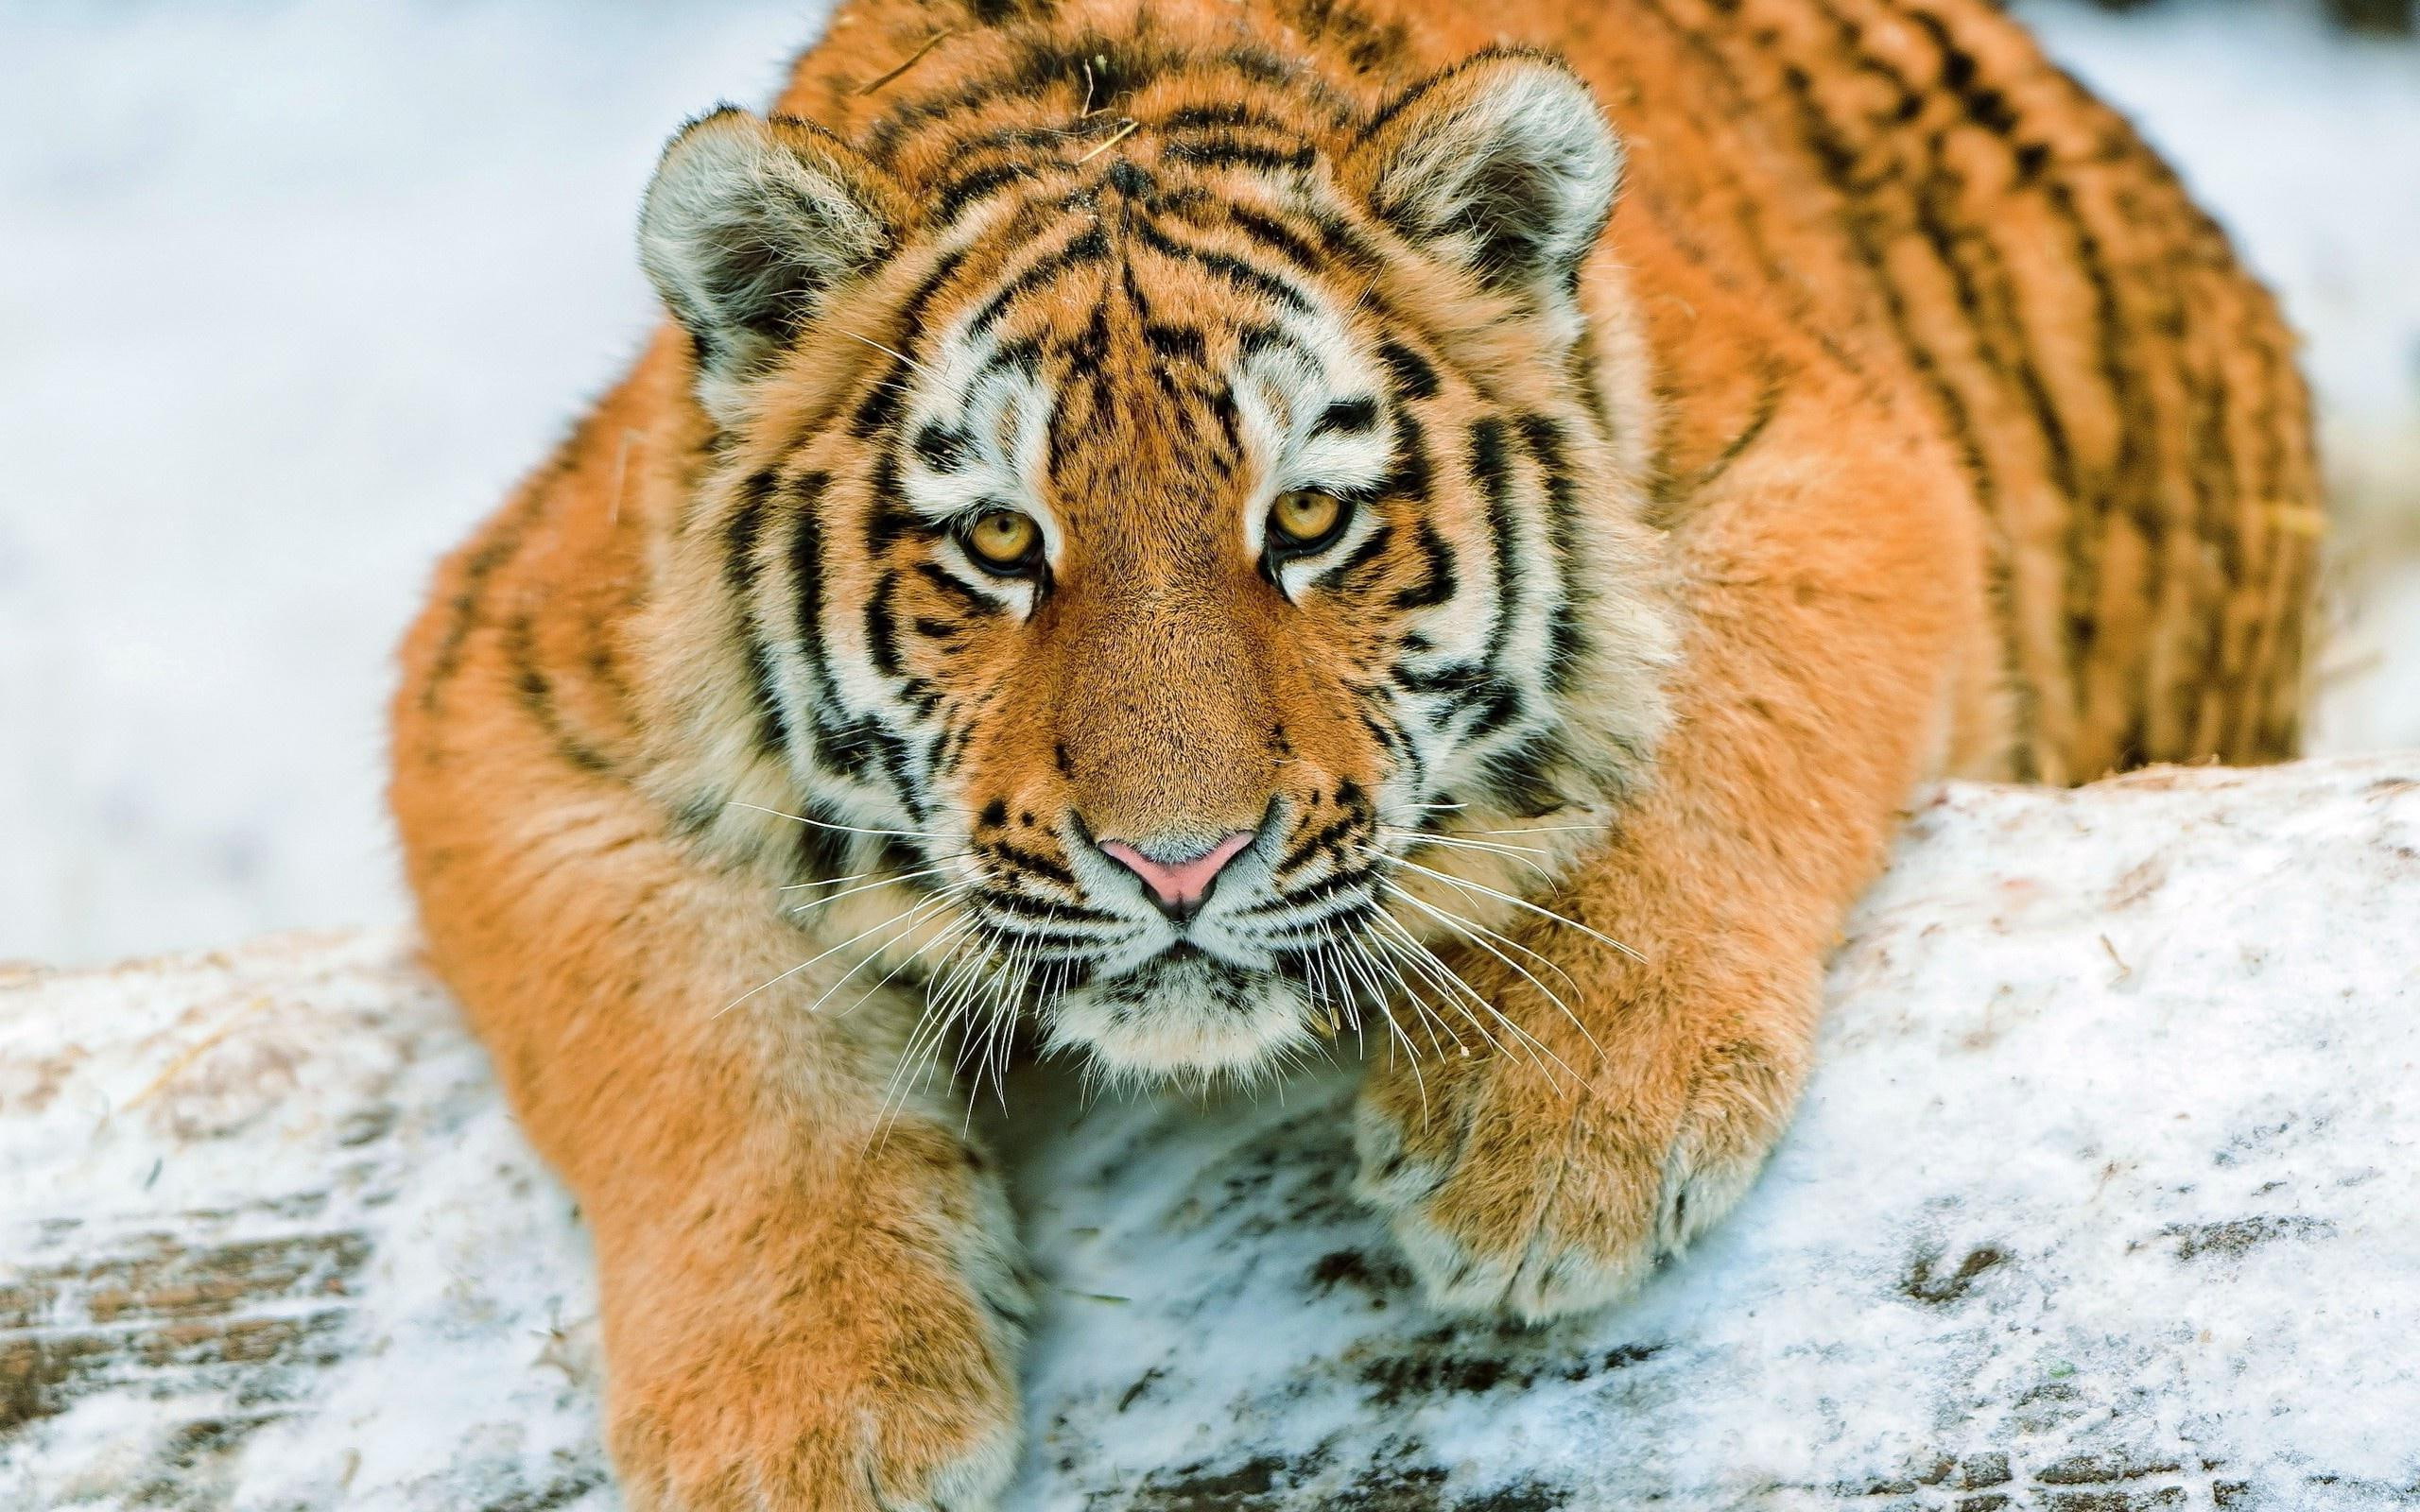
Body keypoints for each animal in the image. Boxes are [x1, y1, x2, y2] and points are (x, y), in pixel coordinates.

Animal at [389, 0, 2315, 1502]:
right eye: (1001, 544)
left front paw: (1557, 1151)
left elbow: (1700, 744)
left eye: (1308, 519)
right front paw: (805, 1422)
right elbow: (696, 1033)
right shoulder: (505, 677)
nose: (1177, 865)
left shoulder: (1821, 449)